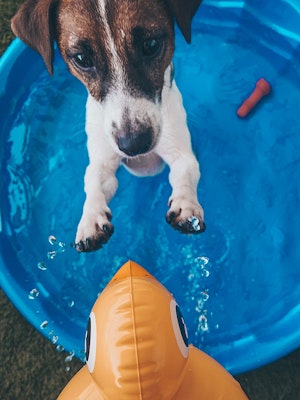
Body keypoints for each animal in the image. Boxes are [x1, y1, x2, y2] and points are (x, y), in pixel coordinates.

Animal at [11, 0, 204, 250]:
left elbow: (185, 172)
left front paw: (186, 205)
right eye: (82, 59)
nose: (134, 145)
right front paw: (91, 218)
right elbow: (94, 181)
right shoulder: (102, 160)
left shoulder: (180, 151)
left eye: (151, 45)